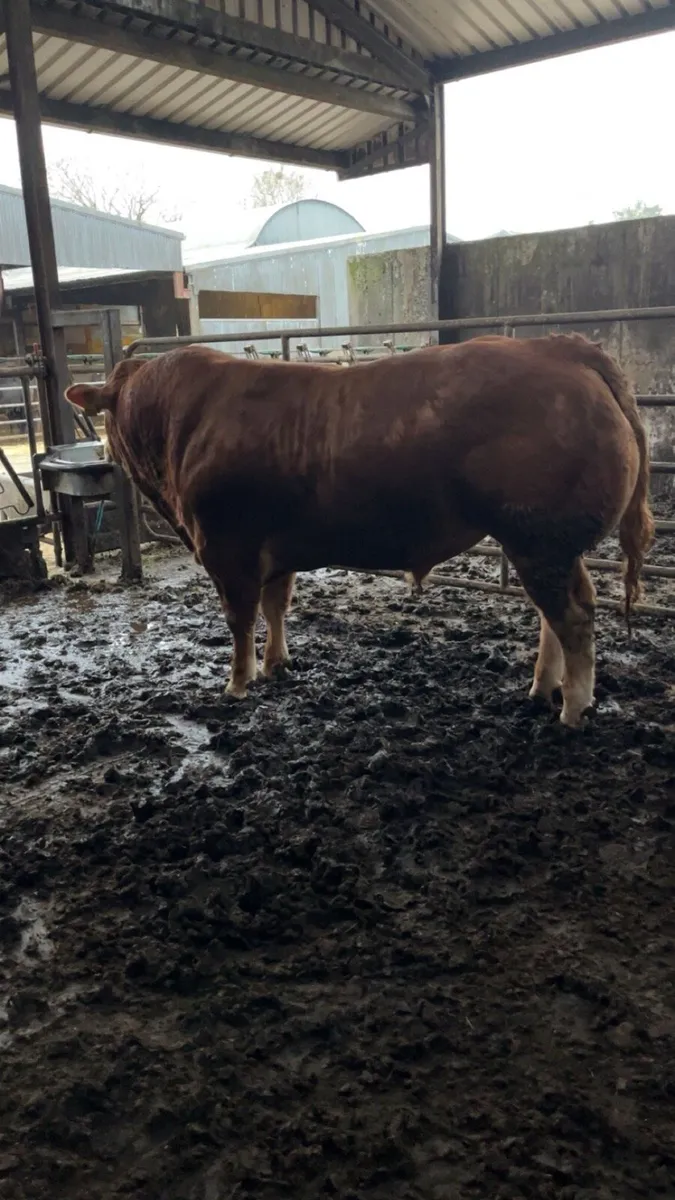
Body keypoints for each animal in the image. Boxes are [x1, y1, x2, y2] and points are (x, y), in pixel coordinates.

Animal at [64, 334, 654, 727]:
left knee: (572, 617)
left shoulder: (227, 548)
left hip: (538, 540)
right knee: (561, 612)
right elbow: (277, 605)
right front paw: (277, 663)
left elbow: (240, 618)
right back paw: (542, 689)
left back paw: (572, 708)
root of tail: (557, 346)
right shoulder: (274, 549)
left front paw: (238, 683)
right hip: (547, 545)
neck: (180, 424)